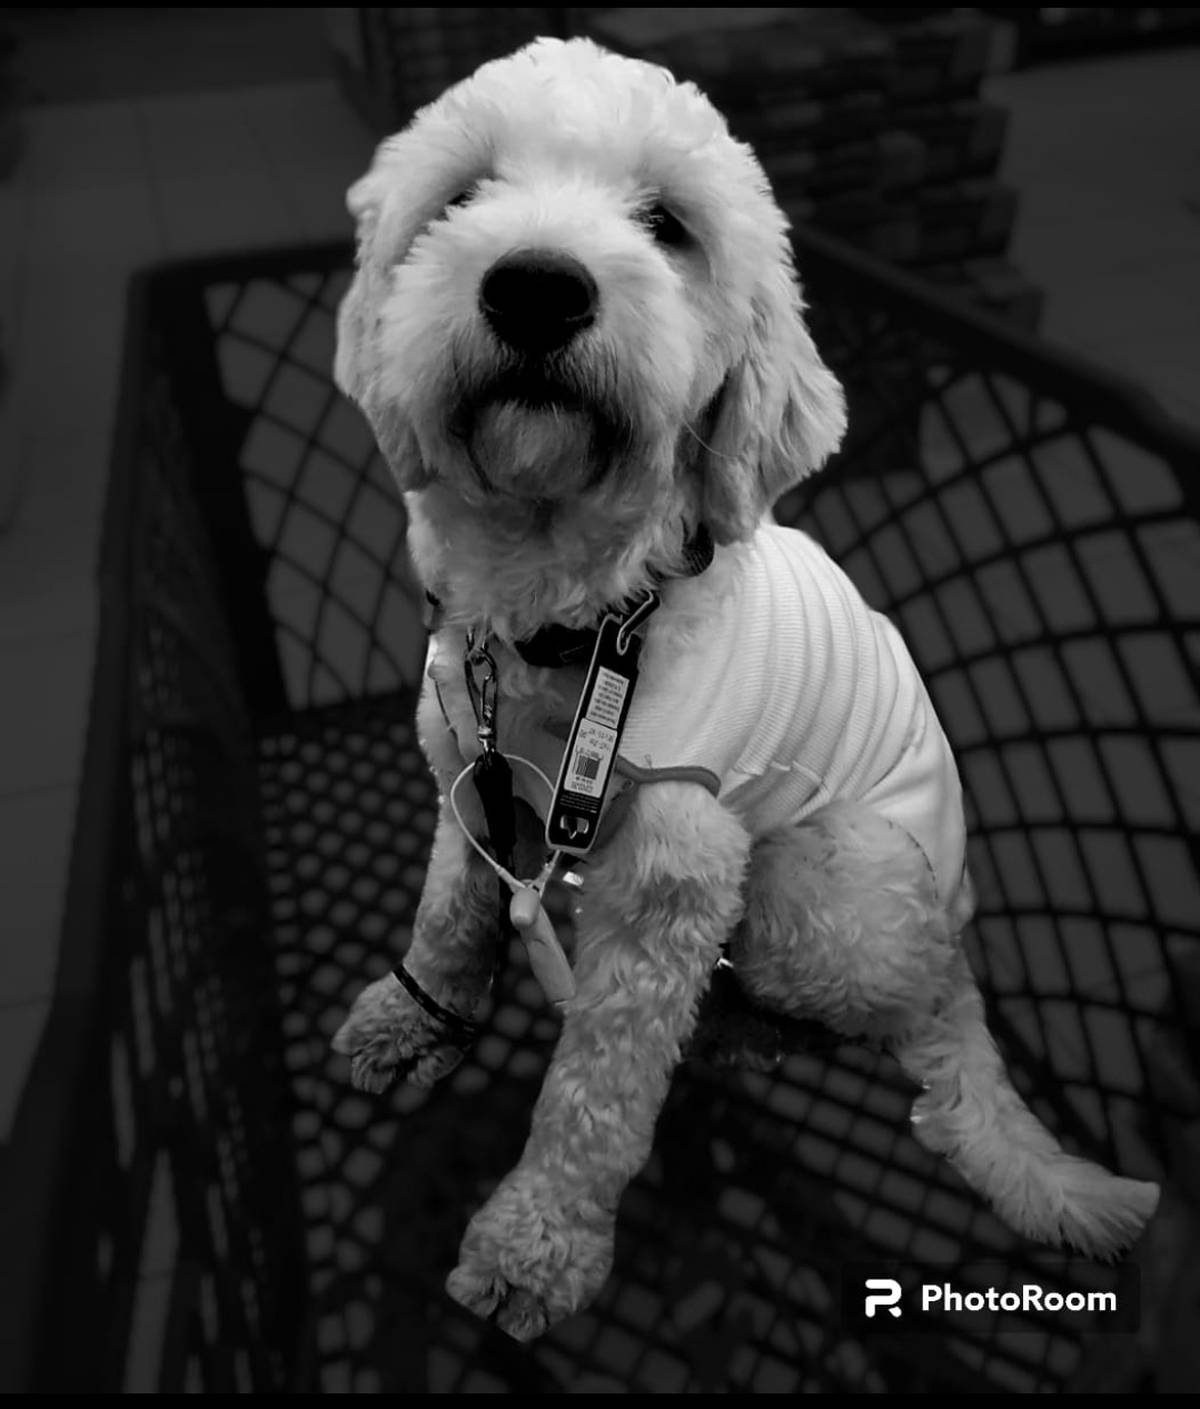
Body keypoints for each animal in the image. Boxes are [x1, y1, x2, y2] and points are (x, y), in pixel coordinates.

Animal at [330, 36, 1159, 1341]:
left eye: (668, 225)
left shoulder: (676, 868)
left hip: (822, 883)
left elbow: (599, 1086)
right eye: (459, 197)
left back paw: (750, 1027)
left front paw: (539, 1241)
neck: (568, 624)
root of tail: (958, 938)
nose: (536, 289)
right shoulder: (466, 763)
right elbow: (452, 906)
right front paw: (419, 1014)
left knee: (880, 1005)